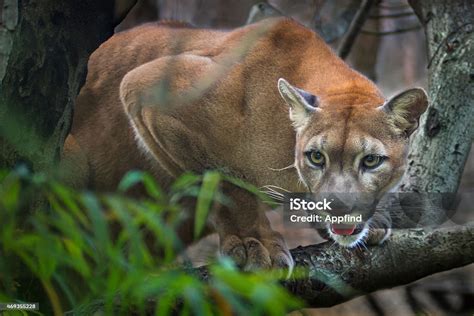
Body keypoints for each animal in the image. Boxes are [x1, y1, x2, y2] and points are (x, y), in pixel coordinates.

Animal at [66, 17, 430, 274]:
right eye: (316, 157)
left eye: (370, 161)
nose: (340, 207)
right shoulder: (147, 89)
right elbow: (223, 183)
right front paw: (254, 243)